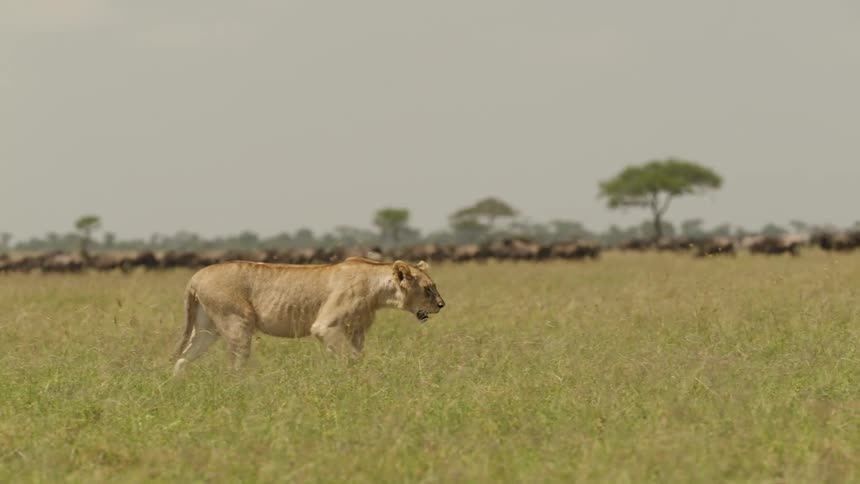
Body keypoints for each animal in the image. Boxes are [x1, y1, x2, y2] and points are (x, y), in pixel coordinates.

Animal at [173, 258, 445, 375]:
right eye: (428, 289)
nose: (442, 305)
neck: (377, 289)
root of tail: (195, 277)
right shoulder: (325, 326)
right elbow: (344, 358)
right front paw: (346, 380)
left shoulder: (357, 331)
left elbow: (357, 356)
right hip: (238, 322)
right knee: (236, 365)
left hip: (207, 329)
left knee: (183, 358)